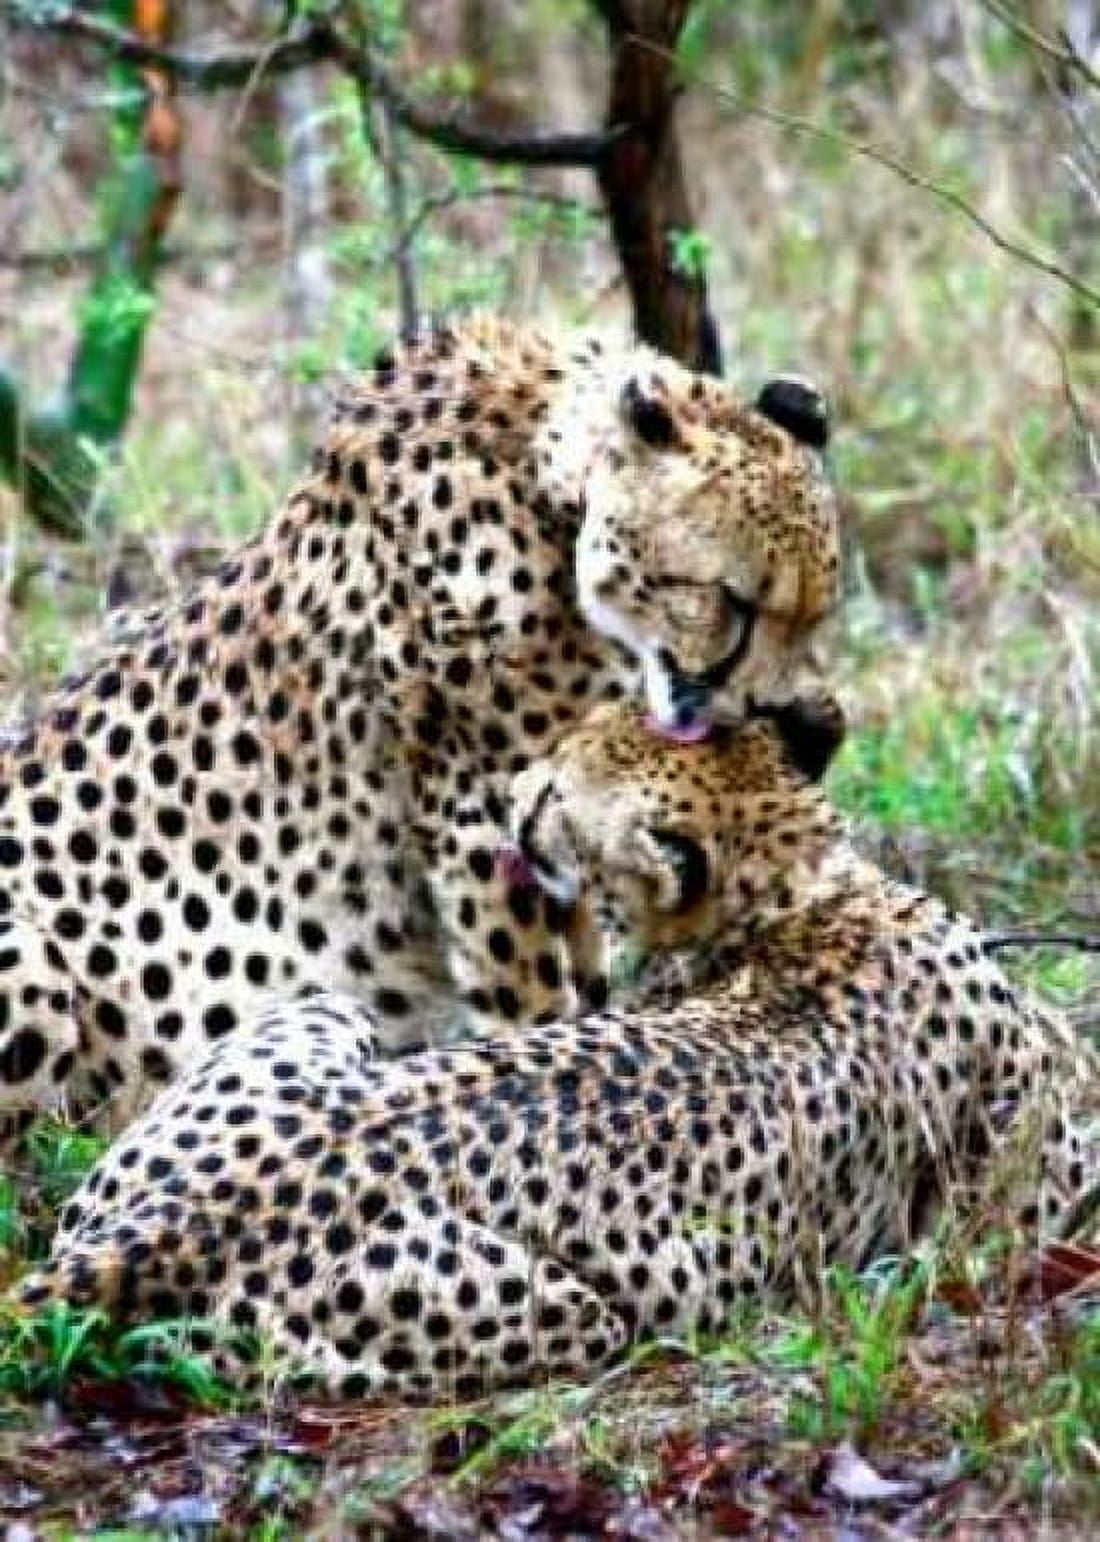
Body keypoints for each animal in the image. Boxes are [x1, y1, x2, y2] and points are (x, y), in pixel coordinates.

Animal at [0, 316, 840, 1133]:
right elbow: (530, 1000)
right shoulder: (481, 826)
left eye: (814, 618)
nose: (770, 718)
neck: (545, 487)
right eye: (732, 601)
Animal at [13, 697, 1095, 1401]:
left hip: (317, 1018)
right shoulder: (1021, 1193)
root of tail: (149, 1232)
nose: (512, 792)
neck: (796, 893)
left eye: (551, 803)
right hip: (574, 1307)